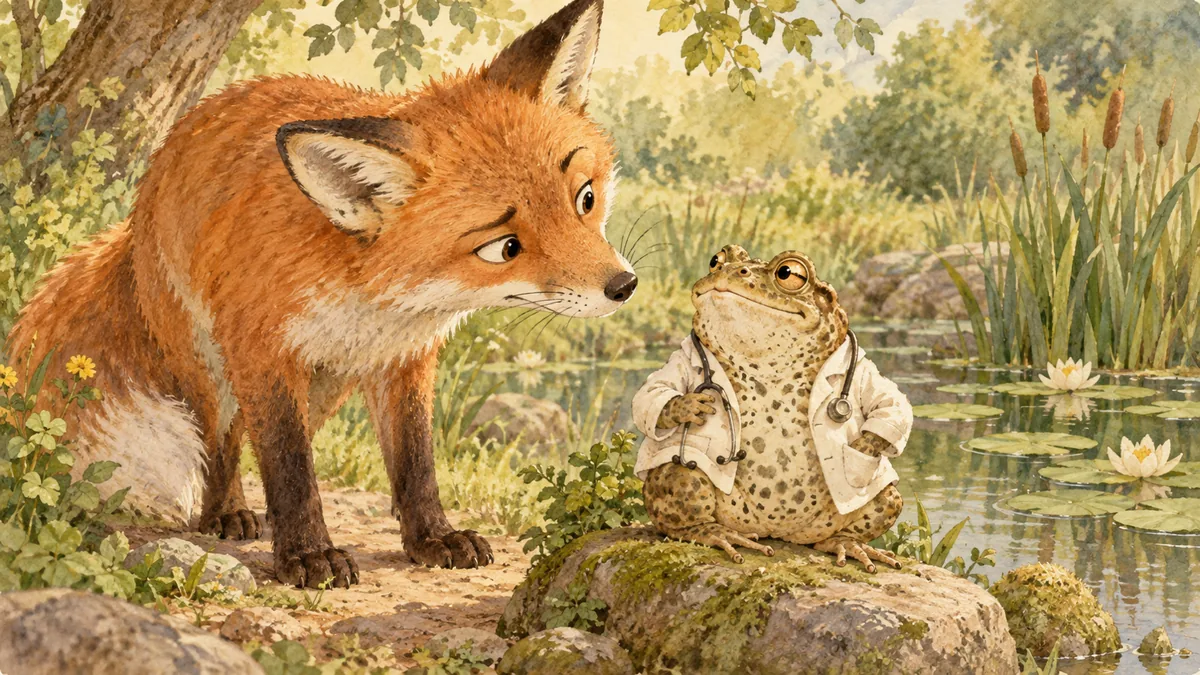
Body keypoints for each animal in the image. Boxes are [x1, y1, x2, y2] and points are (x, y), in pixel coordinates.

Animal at [7, 0, 634, 588]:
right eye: (505, 248)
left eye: (585, 198)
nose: (623, 286)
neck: (372, 296)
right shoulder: (262, 349)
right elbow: (289, 466)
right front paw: (306, 555)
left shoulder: (402, 359)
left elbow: (414, 462)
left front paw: (431, 538)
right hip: (209, 366)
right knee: (220, 442)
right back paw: (225, 513)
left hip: (327, 385)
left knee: (251, 436)